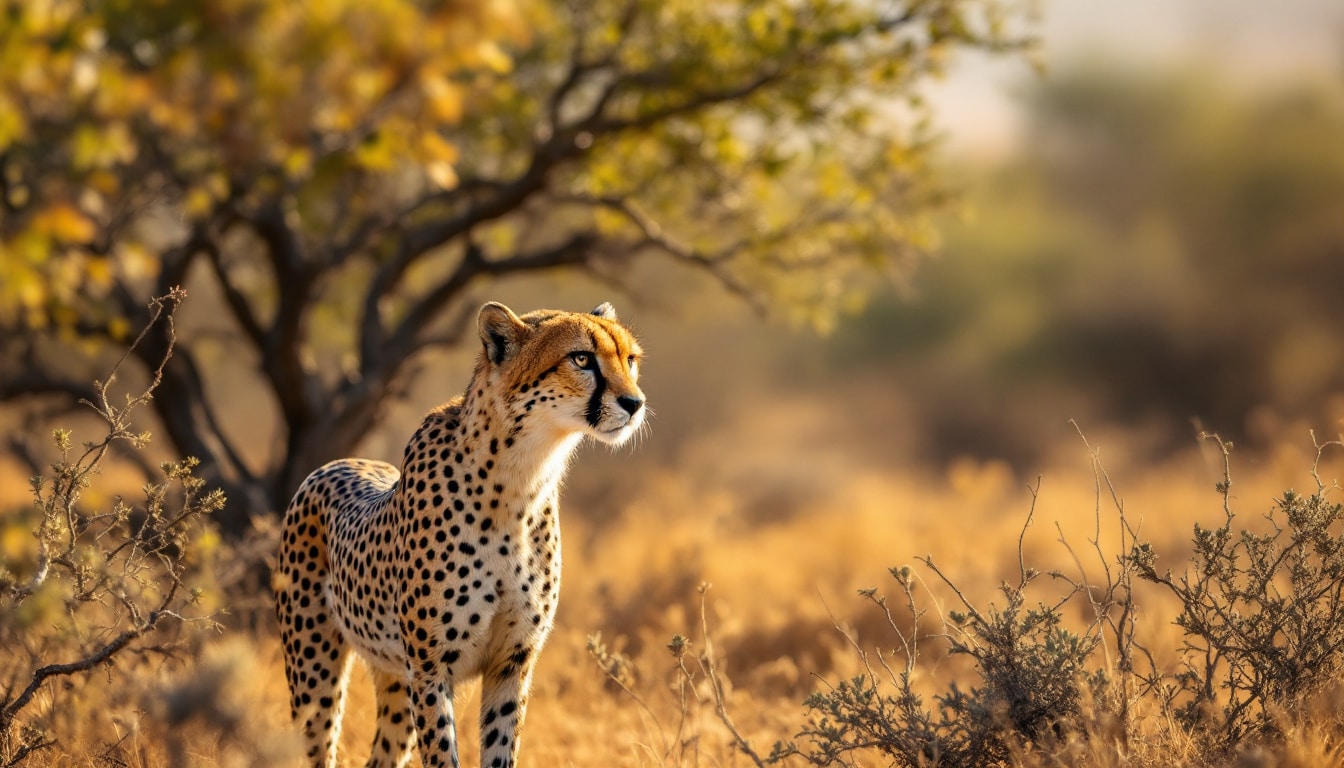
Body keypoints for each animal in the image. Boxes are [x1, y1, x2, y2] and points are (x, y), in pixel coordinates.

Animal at [274, 303, 645, 763]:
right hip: (315, 672)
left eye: (630, 359)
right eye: (581, 359)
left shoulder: (511, 665)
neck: (519, 478)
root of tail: (335, 463)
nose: (635, 403)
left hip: (395, 681)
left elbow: (501, 749)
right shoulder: (431, 670)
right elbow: (442, 754)